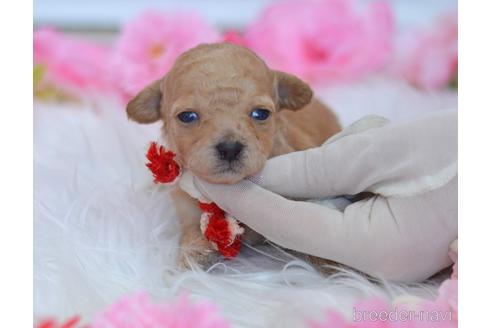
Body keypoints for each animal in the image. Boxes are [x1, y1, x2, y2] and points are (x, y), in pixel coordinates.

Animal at [127, 43, 340, 270]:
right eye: (187, 116)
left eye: (261, 114)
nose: (230, 148)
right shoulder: (188, 209)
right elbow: (192, 236)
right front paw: (191, 260)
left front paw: (333, 263)